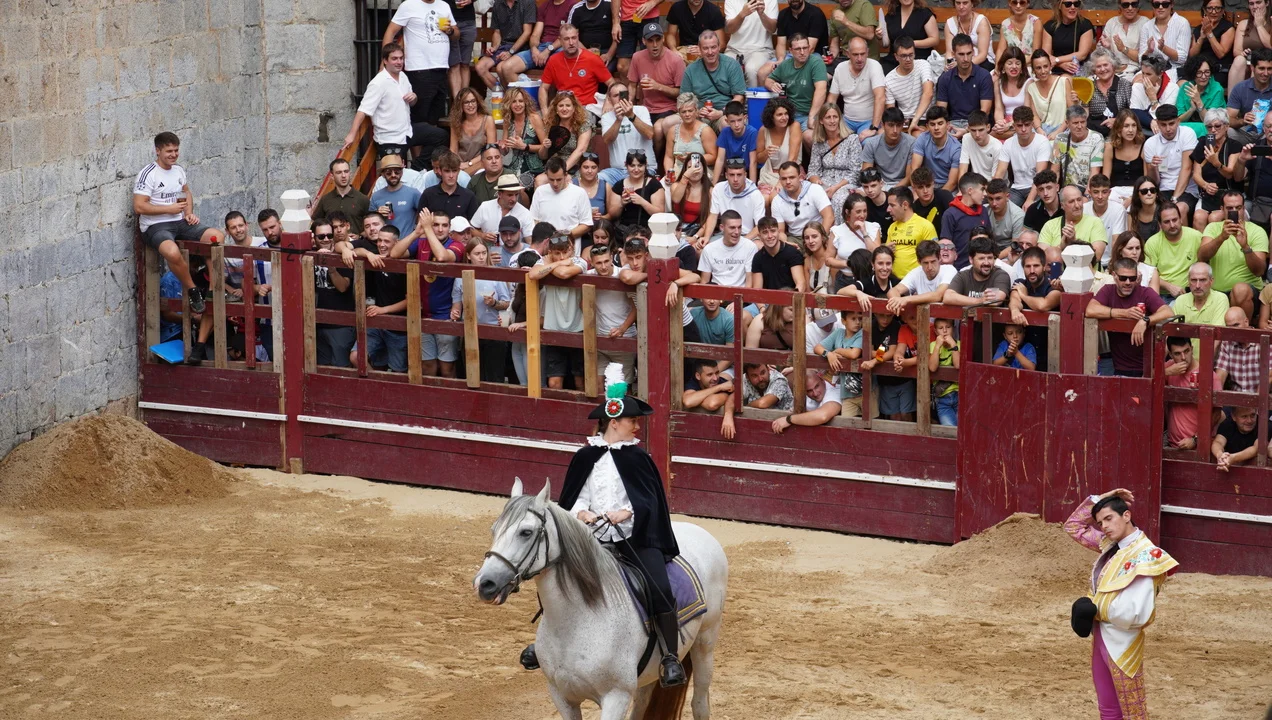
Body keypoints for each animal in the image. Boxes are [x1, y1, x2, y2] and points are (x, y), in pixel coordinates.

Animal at [473, 478, 729, 720]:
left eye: (525, 532)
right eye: (494, 530)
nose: (484, 584)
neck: (577, 621)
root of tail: (699, 531)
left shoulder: (616, 697)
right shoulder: (562, 696)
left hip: (705, 643)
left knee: (700, 703)